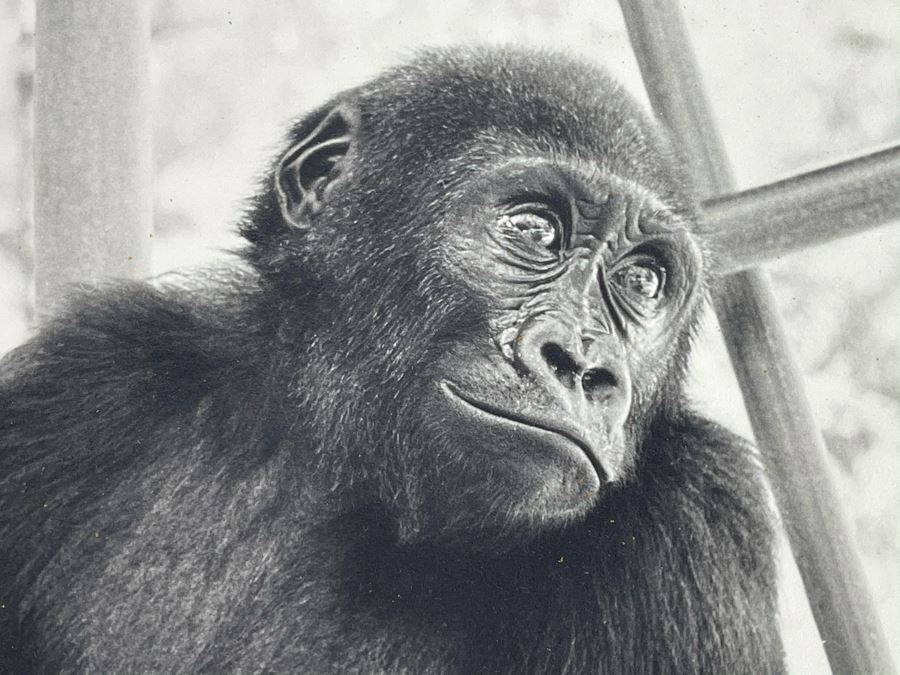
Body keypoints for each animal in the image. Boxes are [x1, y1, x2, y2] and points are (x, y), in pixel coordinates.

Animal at [0, 46, 783, 673]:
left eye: (642, 280)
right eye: (534, 229)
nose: (582, 366)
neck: (342, 475)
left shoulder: (700, 514)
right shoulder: (93, 370)